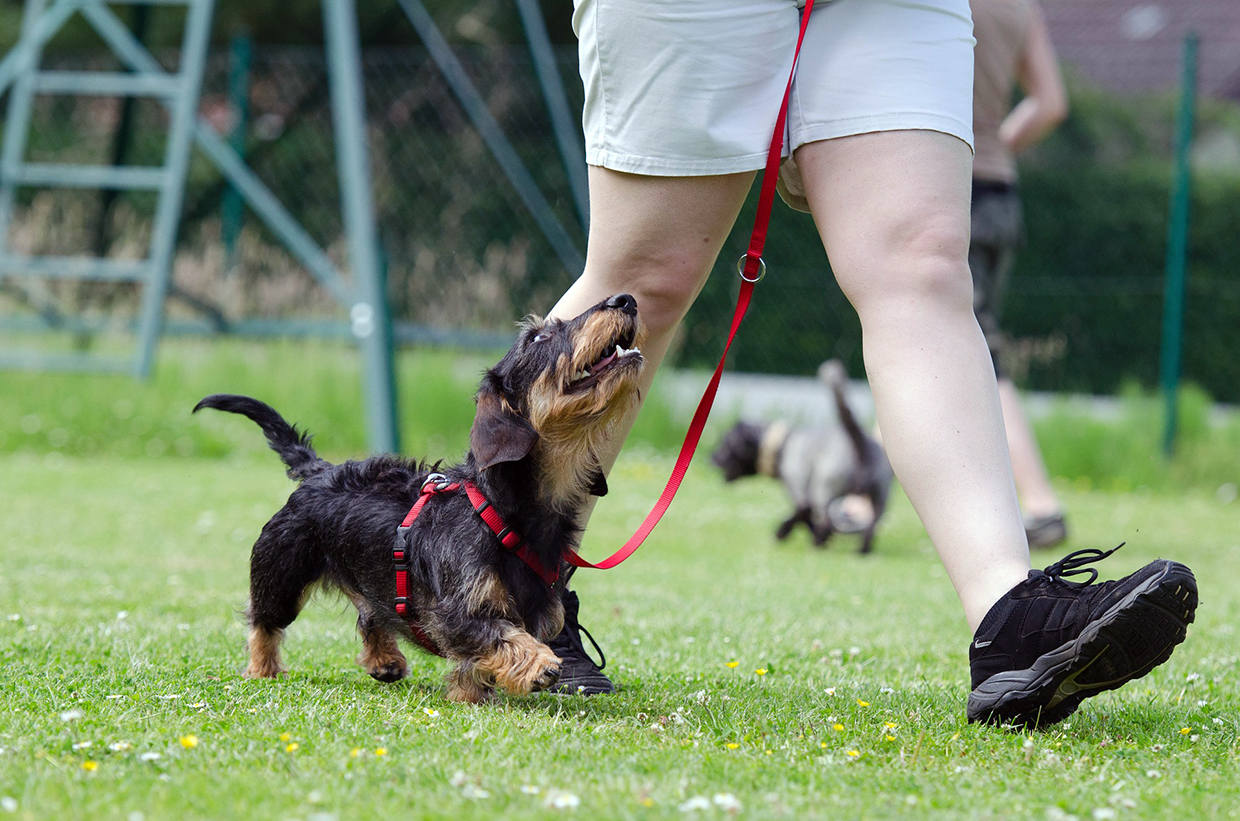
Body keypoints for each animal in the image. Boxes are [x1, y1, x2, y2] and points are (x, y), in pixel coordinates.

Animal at [198, 292, 644, 704]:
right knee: (263, 622)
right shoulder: (457, 613)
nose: (625, 300)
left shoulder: (537, 611)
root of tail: (321, 471)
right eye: (538, 337)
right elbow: (500, 636)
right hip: (281, 574)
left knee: (371, 614)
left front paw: (471, 693)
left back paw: (384, 660)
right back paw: (263, 668)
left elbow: (479, 659)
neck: (502, 510)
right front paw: (538, 664)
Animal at [709, 364, 892, 555]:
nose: (710, 458)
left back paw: (817, 544)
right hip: (879, 498)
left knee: (826, 520)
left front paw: (782, 533)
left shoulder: (800, 492)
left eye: (725, 445)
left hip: (824, 491)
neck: (781, 444)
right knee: (871, 526)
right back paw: (862, 551)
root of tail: (859, 441)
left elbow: (802, 516)